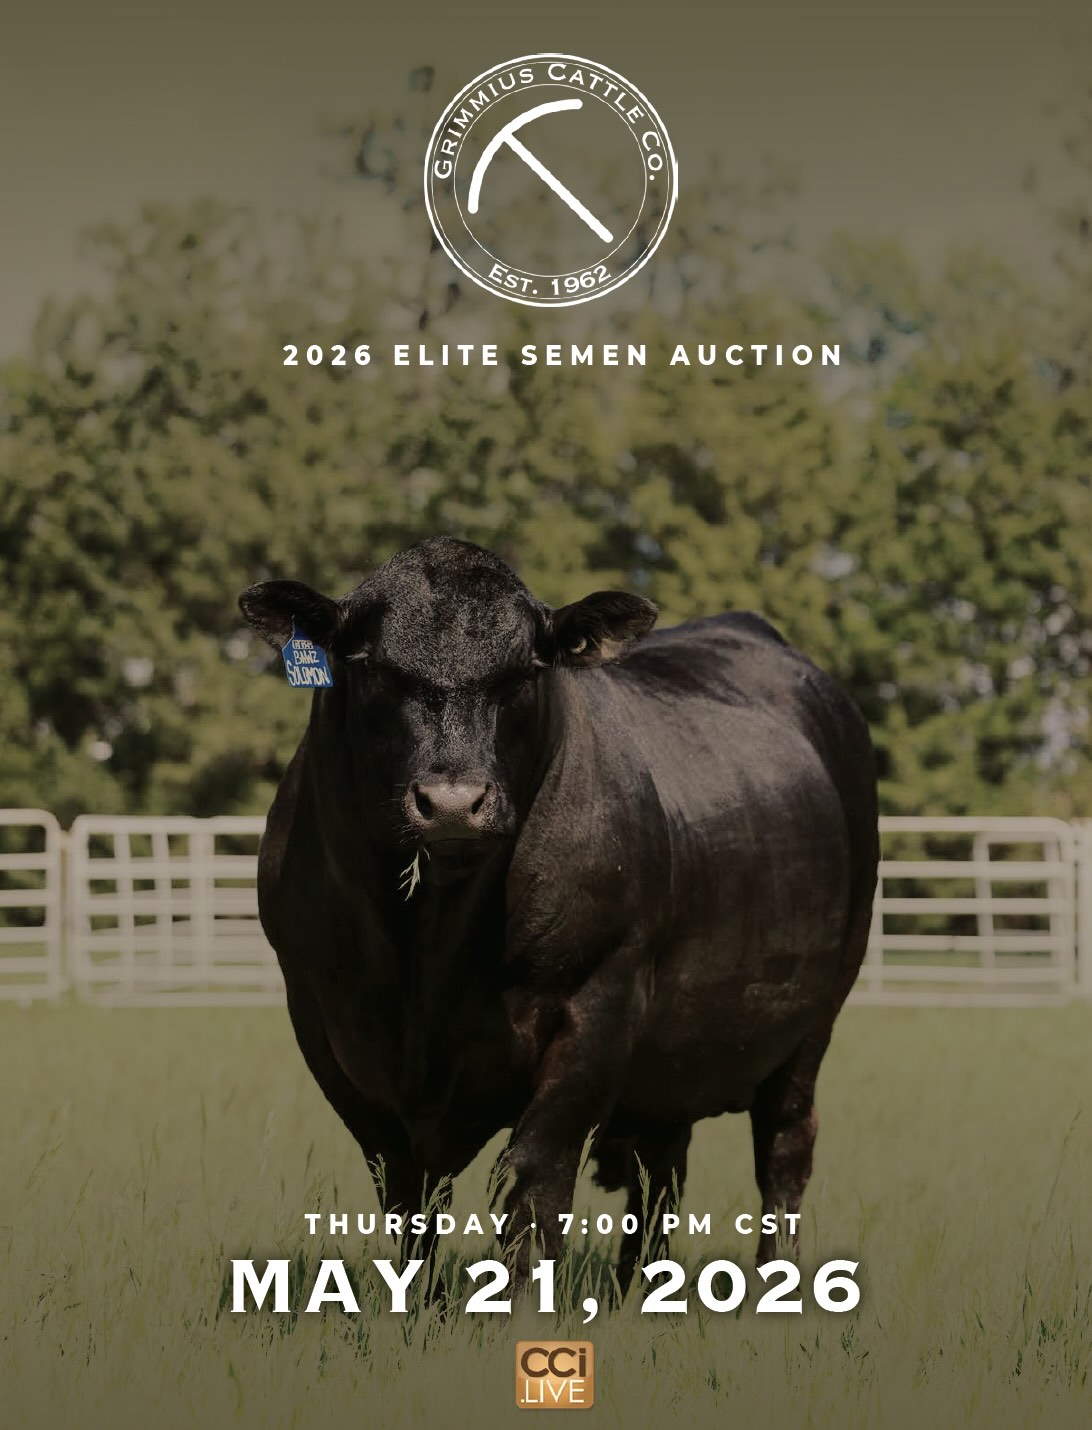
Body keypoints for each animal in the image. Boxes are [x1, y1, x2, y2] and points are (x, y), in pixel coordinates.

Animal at [239, 536, 878, 1288]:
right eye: (367, 662)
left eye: (530, 668)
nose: (453, 803)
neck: (430, 942)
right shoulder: (324, 1021)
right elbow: (407, 1197)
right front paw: (415, 1303)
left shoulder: (599, 999)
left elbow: (535, 1179)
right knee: (660, 1164)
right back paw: (640, 1287)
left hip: (815, 1015)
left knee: (783, 1146)